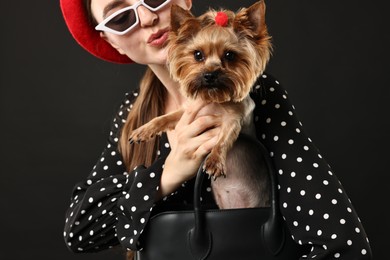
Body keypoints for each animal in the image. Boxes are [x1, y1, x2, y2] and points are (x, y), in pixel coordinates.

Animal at [129, 0, 272, 207]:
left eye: (229, 55)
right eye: (198, 55)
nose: (209, 74)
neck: (214, 99)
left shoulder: (235, 120)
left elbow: (223, 140)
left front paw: (214, 160)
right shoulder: (188, 111)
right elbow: (165, 118)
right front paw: (144, 130)